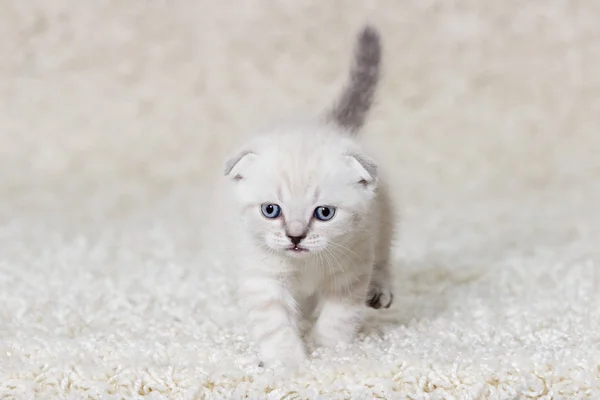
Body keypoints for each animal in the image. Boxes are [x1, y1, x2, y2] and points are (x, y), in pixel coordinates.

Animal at [220, 26, 394, 368]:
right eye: (271, 210)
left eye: (324, 213)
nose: (295, 237)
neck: (305, 268)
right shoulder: (263, 280)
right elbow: (275, 326)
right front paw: (289, 363)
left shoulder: (350, 274)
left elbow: (337, 320)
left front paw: (327, 353)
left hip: (383, 224)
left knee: (383, 258)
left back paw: (380, 293)